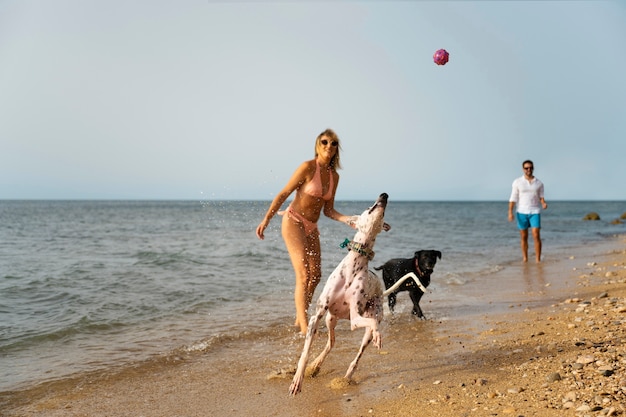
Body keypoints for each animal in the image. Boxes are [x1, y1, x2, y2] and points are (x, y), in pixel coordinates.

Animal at [288, 192, 390, 394]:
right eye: (369, 208)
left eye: (383, 215)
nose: (384, 195)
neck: (355, 264)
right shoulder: (317, 315)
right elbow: (305, 352)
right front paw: (298, 379)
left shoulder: (356, 317)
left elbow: (373, 324)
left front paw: (378, 335)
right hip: (330, 318)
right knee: (331, 343)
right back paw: (316, 365)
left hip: (361, 324)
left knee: (357, 354)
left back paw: (348, 376)